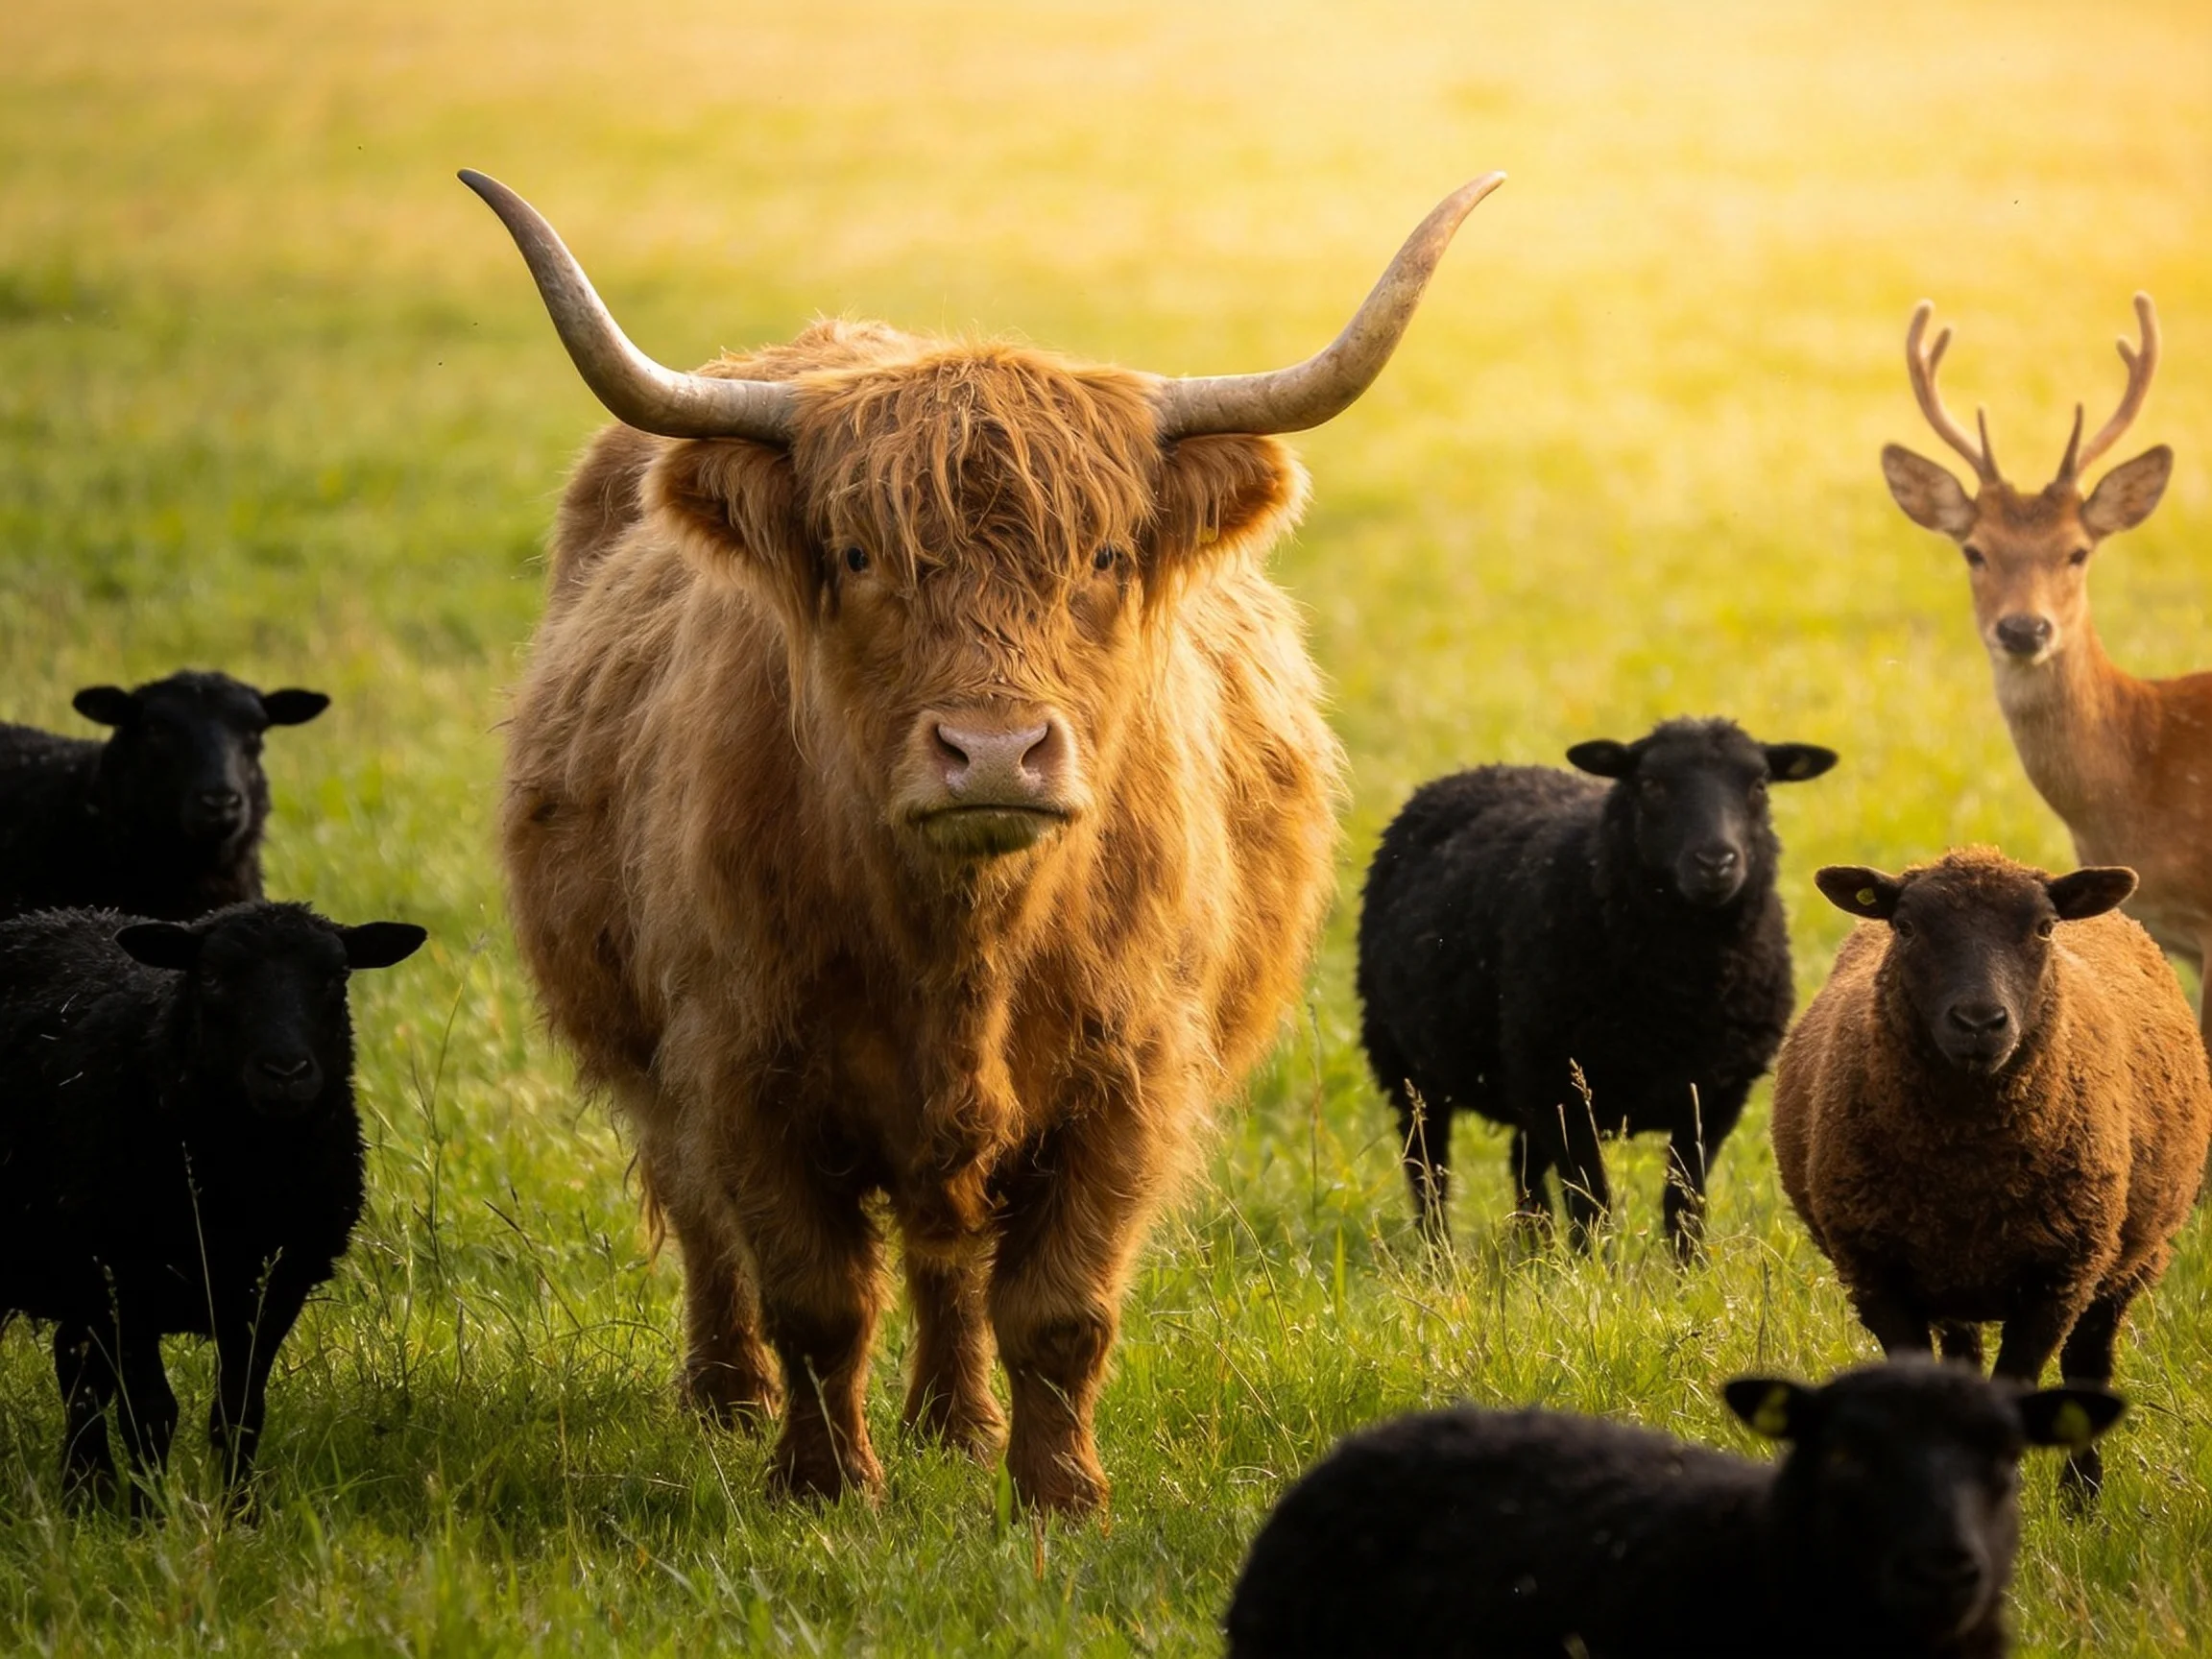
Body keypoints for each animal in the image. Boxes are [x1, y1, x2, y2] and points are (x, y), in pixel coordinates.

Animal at [0, 900, 424, 1509]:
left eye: (336, 975)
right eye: (212, 976)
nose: (286, 1073)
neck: (246, 1177)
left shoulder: (277, 1286)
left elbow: (240, 1411)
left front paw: (239, 1513)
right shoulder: (128, 1282)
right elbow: (150, 1414)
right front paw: (149, 1519)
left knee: (75, 1367)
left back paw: (85, 1490)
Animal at [463, 168, 1503, 1513]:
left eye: (1104, 556)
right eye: (860, 556)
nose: (996, 753)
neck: (967, 948)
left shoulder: (1132, 1077)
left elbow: (1061, 1307)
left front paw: (1057, 1497)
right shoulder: (741, 1061)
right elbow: (815, 1296)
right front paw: (823, 1489)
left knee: (949, 1259)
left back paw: (955, 1426)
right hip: (656, 1058)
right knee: (703, 1220)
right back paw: (727, 1400)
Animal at [1356, 717, 1836, 1254]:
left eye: (1759, 785)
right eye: (1651, 784)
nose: (1716, 860)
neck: (1681, 994)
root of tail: (1476, 771)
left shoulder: (1715, 1095)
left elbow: (1684, 1205)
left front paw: (1689, 1272)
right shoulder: (1563, 1091)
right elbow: (1592, 1205)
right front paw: (1597, 1270)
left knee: (1522, 1164)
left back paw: (1534, 1253)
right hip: (1406, 1066)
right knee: (1428, 1170)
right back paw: (1440, 1254)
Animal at [1771, 845, 2212, 1500]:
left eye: (2044, 927)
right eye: (1906, 926)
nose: (1980, 1021)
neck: (1967, 1168)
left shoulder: (2059, 1278)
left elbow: (2021, 1387)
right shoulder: (1876, 1274)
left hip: (2128, 1259)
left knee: (2088, 1368)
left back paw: (2083, 1497)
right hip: (1952, 1276)